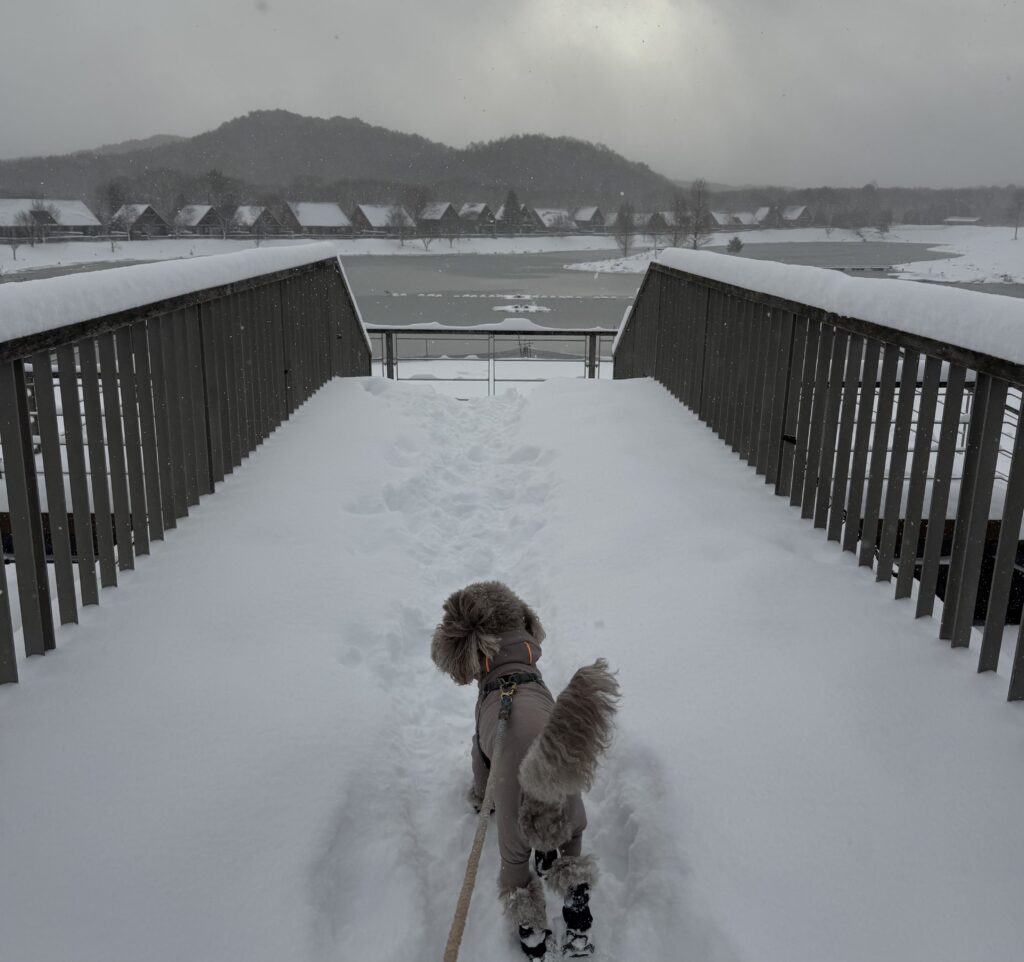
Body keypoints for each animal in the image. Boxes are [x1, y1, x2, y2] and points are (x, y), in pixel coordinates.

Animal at [430, 581, 618, 958]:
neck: (508, 670)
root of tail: (539, 785)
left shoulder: (479, 752)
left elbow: (478, 782)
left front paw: (476, 805)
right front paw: (544, 860)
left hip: (511, 842)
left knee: (523, 900)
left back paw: (535, 946)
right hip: (574, 826)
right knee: (574, 880)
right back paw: (577, 941)